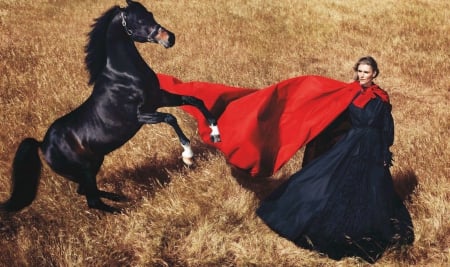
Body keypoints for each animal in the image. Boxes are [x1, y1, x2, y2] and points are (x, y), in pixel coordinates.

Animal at [0, 0, 221, 214]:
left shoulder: (160, 98)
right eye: (138, 20)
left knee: (84, 191)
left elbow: (194, 100)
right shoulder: (141, 115)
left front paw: (215, 133)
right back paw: (123, 211)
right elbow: (170, 118)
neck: (124, 75)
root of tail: (42, 144)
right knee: (92, 200)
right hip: (85, 171)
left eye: (150, 14)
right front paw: (188, 156)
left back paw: (120, 197)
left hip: (93, 164)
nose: (170, 38)